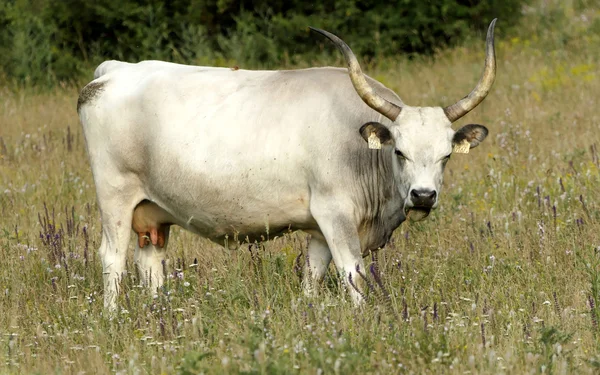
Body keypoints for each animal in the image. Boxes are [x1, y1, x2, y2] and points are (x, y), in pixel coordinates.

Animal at [76, 19, 496, 310]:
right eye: (399, 152)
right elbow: (354, 275)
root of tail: (115, 70)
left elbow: (312, 277)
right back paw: (115, 317)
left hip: (152, 214)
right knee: (112, 259)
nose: (423, 196)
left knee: (150, 263)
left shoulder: (318, 227)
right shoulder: (336, 213)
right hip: (115, 195)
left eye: (446, 155)